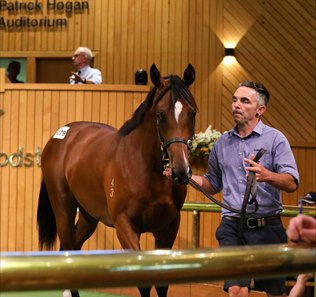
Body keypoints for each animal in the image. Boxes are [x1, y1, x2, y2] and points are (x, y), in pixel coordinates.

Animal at [36, 65, 195, 296]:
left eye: (192, 113)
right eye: (159, 114)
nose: (181, 170)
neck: (145, 168)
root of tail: (60, 136)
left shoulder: (169, 227)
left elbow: (162, 283)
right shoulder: (124, 224)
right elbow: (144, 281)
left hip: (88, 216)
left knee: (73, 247)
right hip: (63, 208)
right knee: (67, 245)